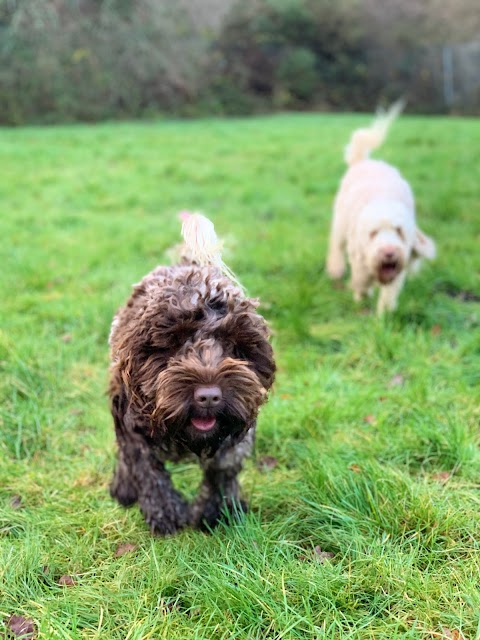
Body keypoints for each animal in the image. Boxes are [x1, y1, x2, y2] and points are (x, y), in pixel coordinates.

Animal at [326, 102, 436, 316]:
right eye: (373, 233)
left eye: (399, 231)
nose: (389, 252)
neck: (383, 201)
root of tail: (364, 161)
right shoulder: (359, 254)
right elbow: (361, 278)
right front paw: (360, 296)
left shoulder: (399, 262)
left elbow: (390, 290)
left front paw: (385, 313)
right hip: (340, 224)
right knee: (336, 246)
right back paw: (336, 270)